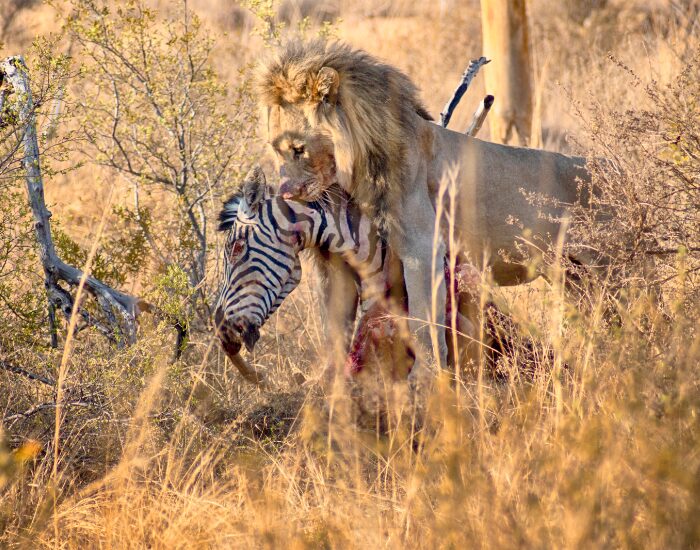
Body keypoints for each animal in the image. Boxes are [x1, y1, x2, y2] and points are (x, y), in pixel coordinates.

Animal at [257, 39, 592, 384]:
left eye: (298, 149)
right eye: (274, 148)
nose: (285, 192)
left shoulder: (422, 247)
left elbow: (423, 320)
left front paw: (425, 378)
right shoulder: (340, 263)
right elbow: (336, 328)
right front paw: (331, 382)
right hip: (576, 279)